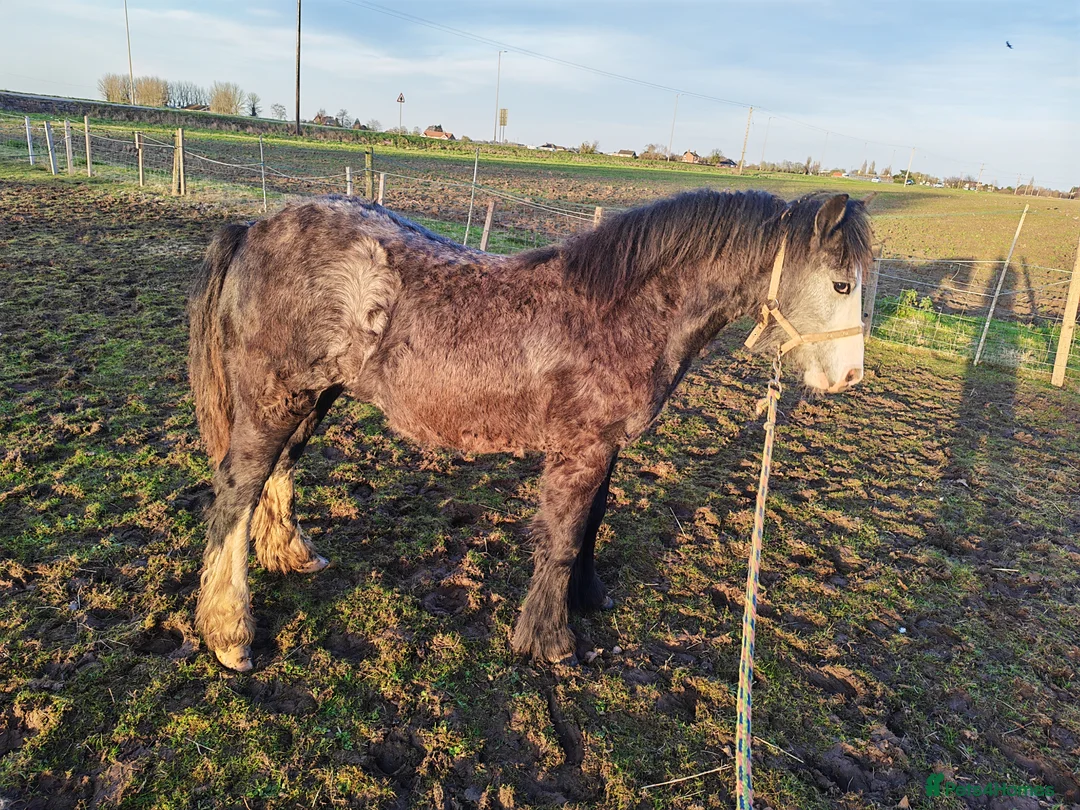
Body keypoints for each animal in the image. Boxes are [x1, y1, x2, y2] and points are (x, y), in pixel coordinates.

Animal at [187, 188, 872, 671]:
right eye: (841, 282)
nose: (849, 377)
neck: (620, 311)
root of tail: (254, 230)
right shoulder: (581, 450)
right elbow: (564, 537)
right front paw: (550, 641)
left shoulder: (602, 447)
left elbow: (591, 527)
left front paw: (587, 598)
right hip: (273, 400)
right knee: (235, 496)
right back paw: (229, 635)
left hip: (313, 397)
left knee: (277, 475)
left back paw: (292, 557)